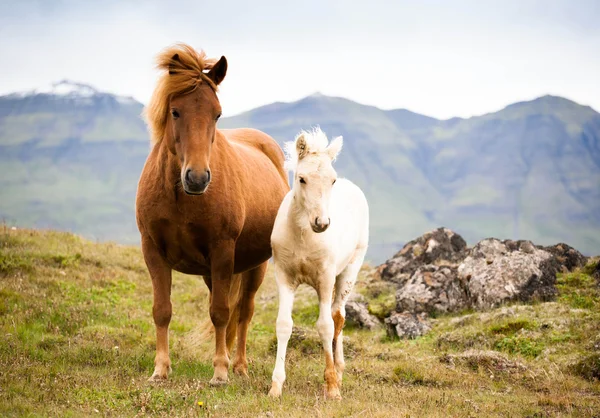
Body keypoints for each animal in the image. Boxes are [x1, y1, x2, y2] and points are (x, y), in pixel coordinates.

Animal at [135, 45, 288, 386]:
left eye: (217, 113)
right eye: (175, 111)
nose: (197, 178)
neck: (182, 198)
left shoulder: (222, 252)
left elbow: (220, 312)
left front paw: (220, 372)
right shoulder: (152, 250)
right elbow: (161, 309)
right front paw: (160, 369)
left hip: (254, 267)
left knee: (243, 312)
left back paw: (239, 365)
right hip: (211, 272)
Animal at [268, 126, 370, 398]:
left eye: (332, 180)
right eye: (302, 178)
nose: (321, 223)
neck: (303, 236)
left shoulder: (325, 279)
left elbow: (325, 326)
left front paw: (332, 387)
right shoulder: (284, 278)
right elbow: (284, 325)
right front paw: (276, 386)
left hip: (349, 271)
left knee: (338, 316)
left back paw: (339, 371)